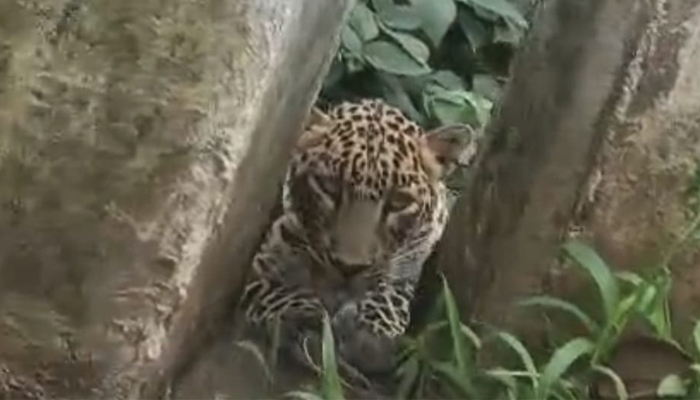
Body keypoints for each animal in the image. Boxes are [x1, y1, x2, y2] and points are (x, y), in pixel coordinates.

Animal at [239, 98, 475, 379]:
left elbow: (390, 292)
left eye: (399, 202)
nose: (348, 268)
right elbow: (277, 291)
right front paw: (310, 320)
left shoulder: (412, 260)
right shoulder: (260, 263)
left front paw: (369, 335)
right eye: (328, 187)